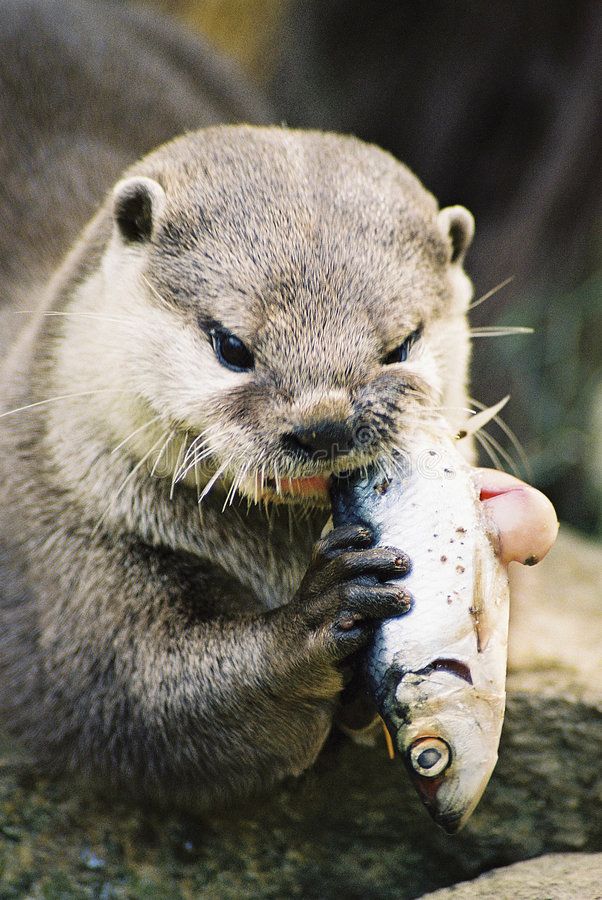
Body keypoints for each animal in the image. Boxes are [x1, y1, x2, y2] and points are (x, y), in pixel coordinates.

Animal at [2, 0, 476, 808]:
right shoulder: (58, 549)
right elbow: (141, 691)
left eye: (402, 344)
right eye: (231, 344)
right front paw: (321, 616)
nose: (324, 423)